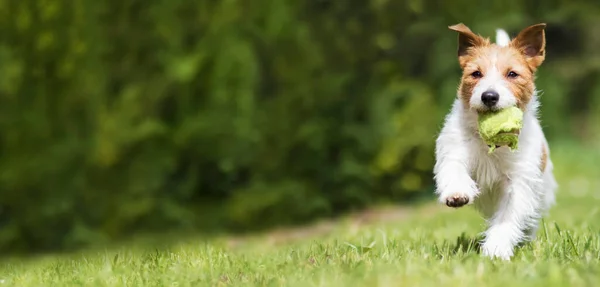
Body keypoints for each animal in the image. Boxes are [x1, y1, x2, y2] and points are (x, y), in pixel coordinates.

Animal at [436, 22, 556, 260]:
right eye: (476, 73)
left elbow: (507, 217)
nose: (489, 96)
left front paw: (496, 249)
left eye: (512, 74)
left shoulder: (518, 182)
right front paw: (456, 192)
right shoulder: (454, 149)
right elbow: (454, 169)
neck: (490, 144)